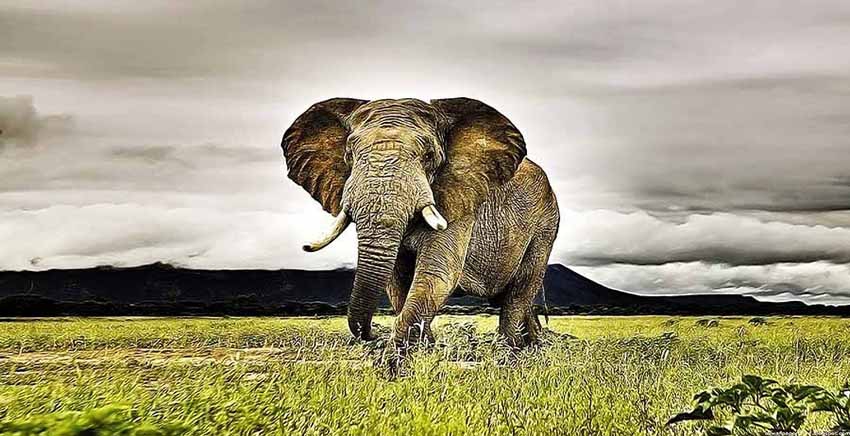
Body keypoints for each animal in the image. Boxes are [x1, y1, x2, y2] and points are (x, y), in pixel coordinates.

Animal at [281, 98, 559, 349]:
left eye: (429, 156)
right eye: (349, 154)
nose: (372, 334)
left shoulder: (459, 198)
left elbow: (436, 275)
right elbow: (397, 282)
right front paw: (426, 349)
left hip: (545, 226)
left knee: (519, 293)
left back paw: (511, 351)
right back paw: (533, 346)